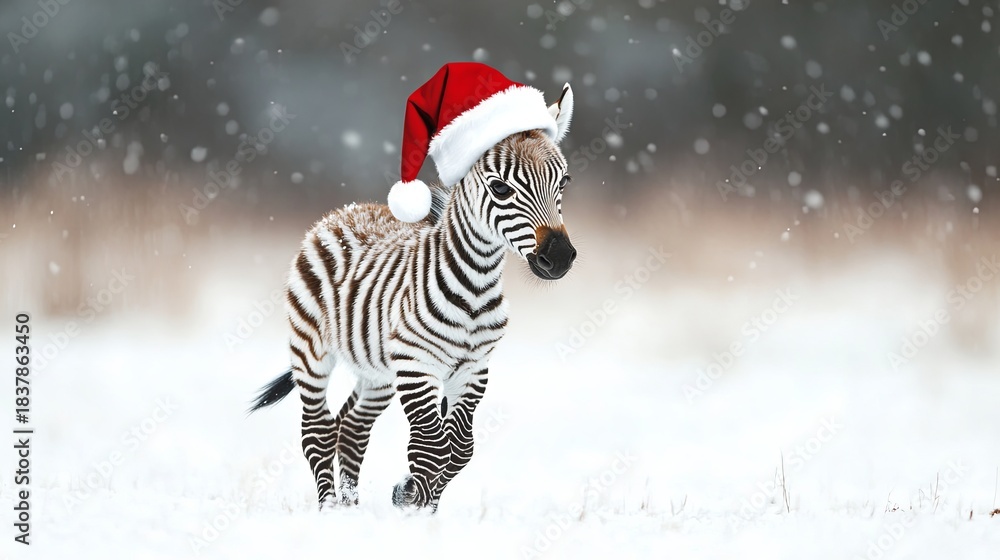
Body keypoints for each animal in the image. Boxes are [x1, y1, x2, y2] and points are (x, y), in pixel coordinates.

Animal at [250, 75, 576, 511]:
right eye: (500, 188)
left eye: (563, 182)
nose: (559, 257)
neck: (474, 290)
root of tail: (346, 211)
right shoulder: (418, 366)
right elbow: (433, 447)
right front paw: (410, 501)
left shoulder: (473, 370)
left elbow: (460, 449)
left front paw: (418, 504)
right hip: (311, 351)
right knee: (317, 431)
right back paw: (330, 509)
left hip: (377, 373)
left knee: (350, 428)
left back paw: (351, 507)